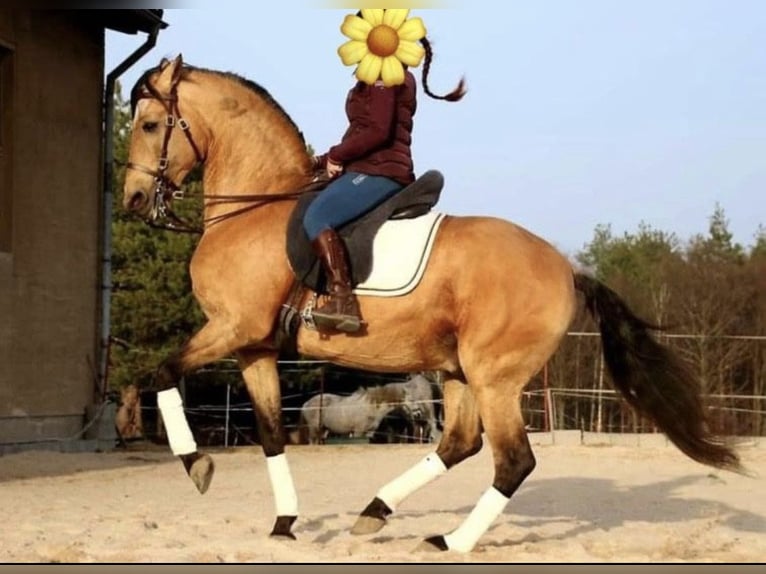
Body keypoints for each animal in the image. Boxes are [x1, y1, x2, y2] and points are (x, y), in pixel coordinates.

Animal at [123, 56, 740, 556]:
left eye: (151, 125)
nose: (133, 200)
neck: (252, 208)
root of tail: (566, 269)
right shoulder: (255, 346)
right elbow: (271, 432)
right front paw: (283, 526)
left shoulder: (232, 327)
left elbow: (160, 373)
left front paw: (197, 465)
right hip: (458, 369)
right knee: (460, 443)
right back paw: (375, 513)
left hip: (494, 377)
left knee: (512, 460)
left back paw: (450, 540)